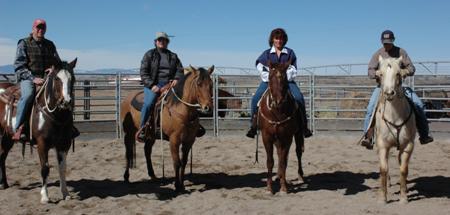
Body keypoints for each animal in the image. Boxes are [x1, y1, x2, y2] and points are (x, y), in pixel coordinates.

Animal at [0, 58, 77, 203]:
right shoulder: (42, 144)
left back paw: (4, 184)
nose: (66, 102)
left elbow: (62, 168)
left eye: (73, 78)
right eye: (57, 78)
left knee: (2, 156)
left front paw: (65, 193)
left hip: (8, 137)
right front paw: (45, 196)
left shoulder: (64, 144)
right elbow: (45, 168)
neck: (55, 115)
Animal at [258, 61, 304, 194]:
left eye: (285, 78)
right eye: (269, 77)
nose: (278, 101)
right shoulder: (266, 136)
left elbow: (283, 161)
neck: (277, 111)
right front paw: (269, 187)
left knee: (298, 152)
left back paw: (300, 176)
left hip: (297, 134)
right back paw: (278, 177)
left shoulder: (287, 137)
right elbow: (270, 161)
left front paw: (284, 187)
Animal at [374, 55, 416, 203]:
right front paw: (383, 198)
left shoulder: (408, 145)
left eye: (398, 73)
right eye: (380, 74)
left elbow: (403, 169)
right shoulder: (382, 145)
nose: (389, 93)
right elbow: (383, 169)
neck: (395, 116)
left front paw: (403, 198)